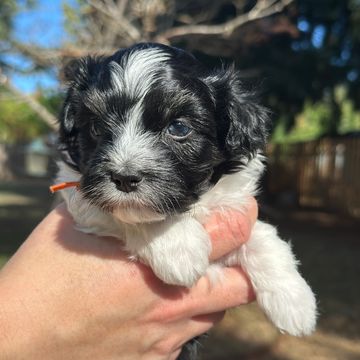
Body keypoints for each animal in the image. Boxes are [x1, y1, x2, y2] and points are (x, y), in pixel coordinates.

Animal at [55, 41, 316, 352]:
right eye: (95, 128)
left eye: (179, 128)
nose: (124, 178)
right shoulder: (79, 193)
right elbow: (128, 215)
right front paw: (178, 248)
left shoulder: (233, 206)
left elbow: (264, 238)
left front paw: (295, 303)